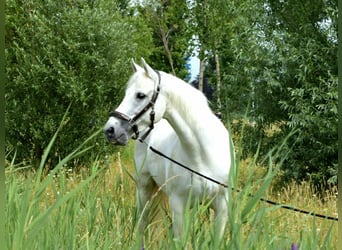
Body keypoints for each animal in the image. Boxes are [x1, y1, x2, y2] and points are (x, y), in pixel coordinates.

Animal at [104, 58, 232, 244]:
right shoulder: (178, 206)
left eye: (140, 95)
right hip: (144, 189)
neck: (203, 155)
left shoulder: (221, 207)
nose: (110, 130)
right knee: (142, 225)